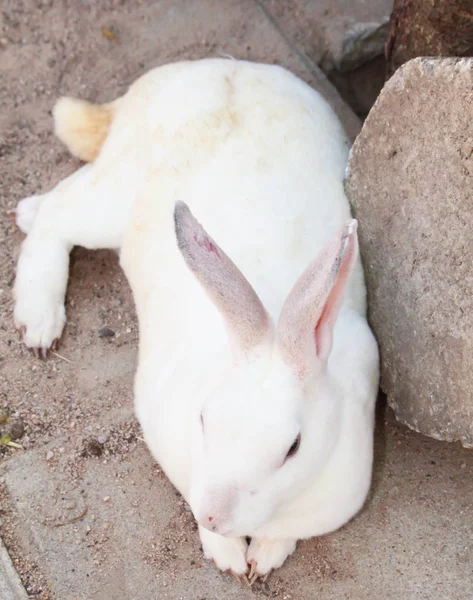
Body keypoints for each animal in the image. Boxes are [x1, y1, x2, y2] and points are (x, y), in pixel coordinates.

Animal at [12, 59, 380, 580]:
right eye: (204, 418)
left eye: (294, 447)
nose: (214, 515)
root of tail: (197, 68)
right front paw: (227, 557)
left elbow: (285, 534)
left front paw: (264, 557)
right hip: (111, 204)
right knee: (60, 219)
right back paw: (39, 320)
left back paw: (28, 213)